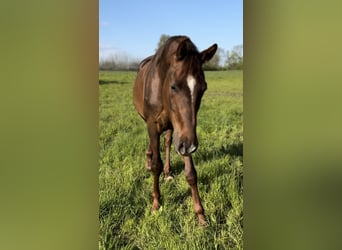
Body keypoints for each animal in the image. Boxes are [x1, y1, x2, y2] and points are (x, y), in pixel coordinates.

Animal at [133, 35, 216, 225]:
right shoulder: (153, 124)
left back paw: (168, 172)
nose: (190, 146)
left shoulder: (182, 132)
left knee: (167, 142)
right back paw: (149, 160)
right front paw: (156, 203)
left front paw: (200, 215)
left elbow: (191, 173)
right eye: (173, 86)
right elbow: (156, 165)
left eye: (203, 88)